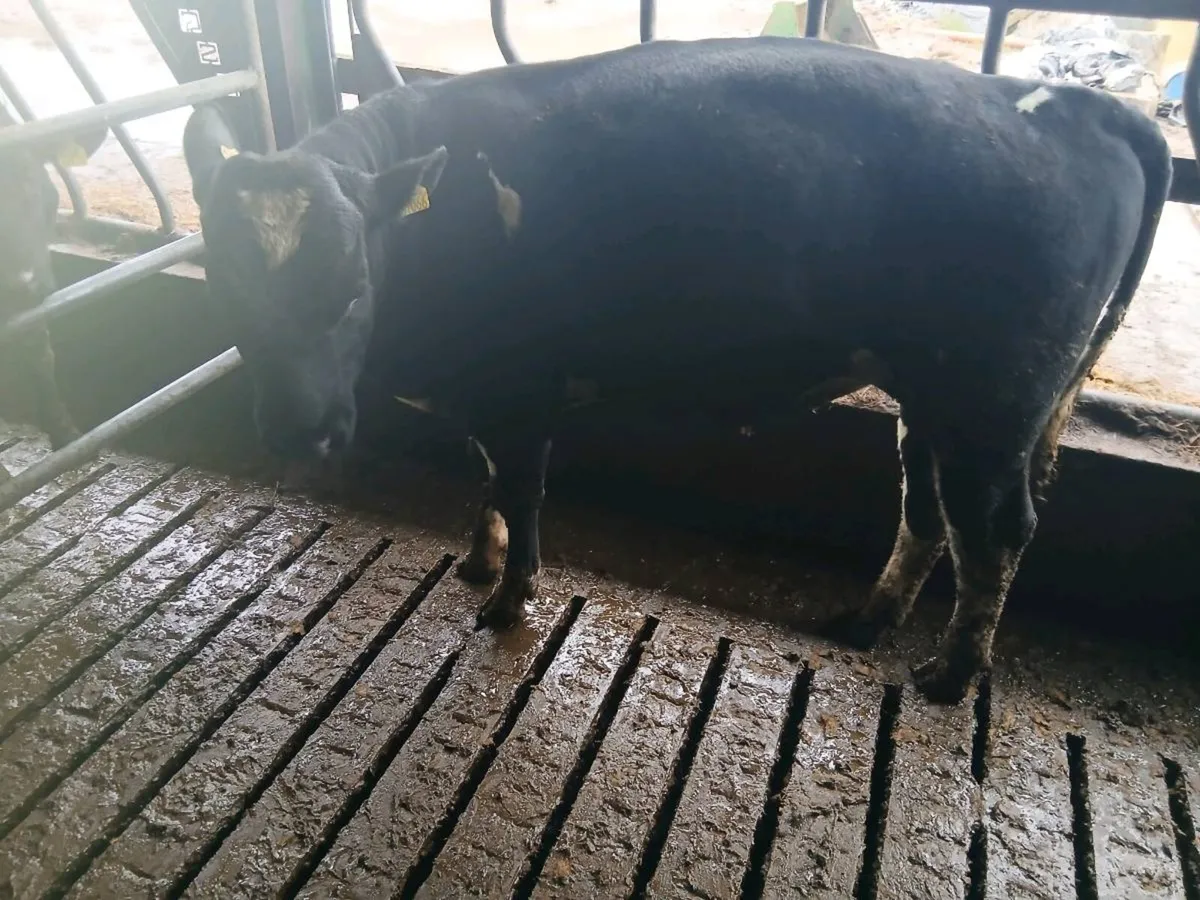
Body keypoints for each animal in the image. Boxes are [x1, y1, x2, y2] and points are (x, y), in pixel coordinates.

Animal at [181, 37, 1170, 703]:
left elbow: (520, 489)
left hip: (992, 399)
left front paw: (507, 596)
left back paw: (951, 674)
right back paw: (871, 621)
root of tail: (1073, 103)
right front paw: (476, 560)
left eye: (352, 285)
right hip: (942, 397)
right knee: (928, 514)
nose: (301, 430)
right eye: (225, 285)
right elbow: (487, 480)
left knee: (995, 532)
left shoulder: (520, 389)